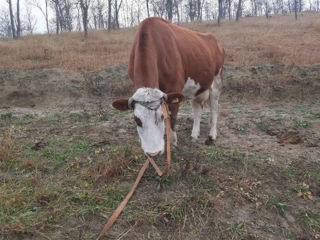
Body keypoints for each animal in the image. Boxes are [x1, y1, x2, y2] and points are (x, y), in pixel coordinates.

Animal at [112, 17, 225, 157]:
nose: (153, 153)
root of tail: (213, 39)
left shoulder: (174, 88)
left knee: (214, 108)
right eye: (137, 120)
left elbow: (172, 118)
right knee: (197, 109)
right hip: (196, 88)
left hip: (216, 81)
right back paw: (194, 134)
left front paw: (173, 143)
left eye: (161, 117)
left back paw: (212, 136)